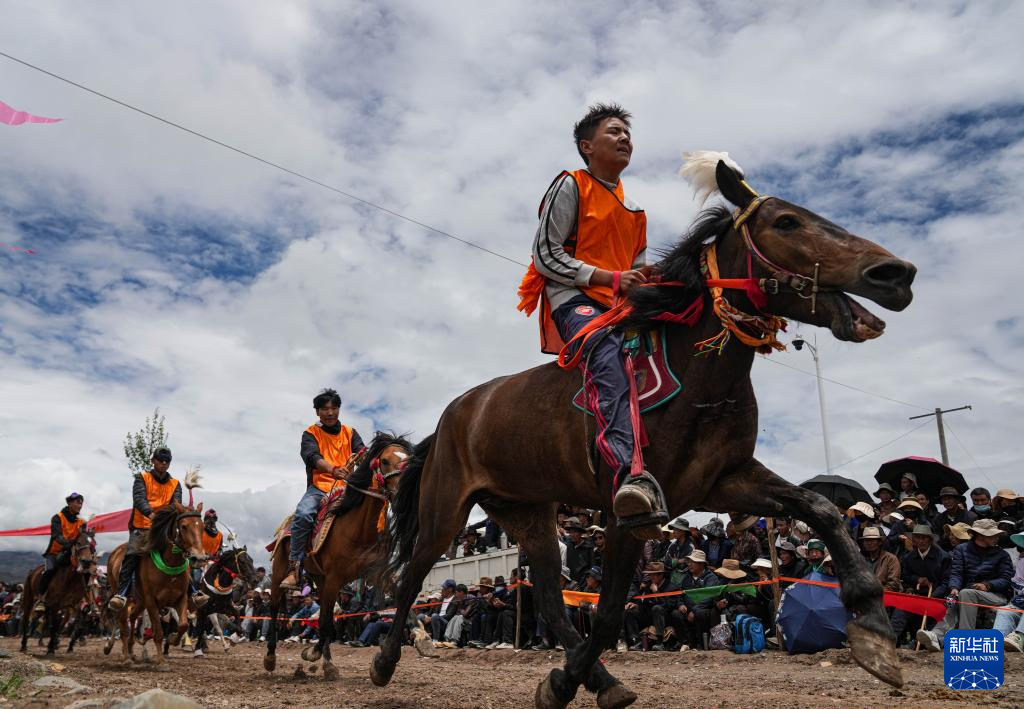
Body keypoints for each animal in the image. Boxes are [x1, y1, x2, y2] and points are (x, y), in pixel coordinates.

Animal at [103, 497, 207, 672]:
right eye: (183, 526)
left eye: (202, 527)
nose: (199, 558)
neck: (170, 564)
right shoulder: (152, 601)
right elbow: (158, 632)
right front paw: (161, 662)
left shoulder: (180, 598)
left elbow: (183, 625)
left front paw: (172, 639)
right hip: (126, 596)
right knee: (123, 624)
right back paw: (126, 657)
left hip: (140, 600)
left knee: (132, 617)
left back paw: (132, 651)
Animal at [264, 432, 415, 680]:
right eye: (385, 461)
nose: (404, 491)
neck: (359, 528)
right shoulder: (335, 578)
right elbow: (326, 624)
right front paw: (313, 654)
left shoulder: (374, 575)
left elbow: (402, 600)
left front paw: (422, 638)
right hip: (279, 575)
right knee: (275, 609)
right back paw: (270, 657)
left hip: (320, 579)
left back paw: (325, 662)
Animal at [372, 156, 917, 709]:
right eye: (787, 222)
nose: (895, 274)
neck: (698, 377)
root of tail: (451, 417)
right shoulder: (628, 514)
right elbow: (610, 613)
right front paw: (565, 681)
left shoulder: (723, 482)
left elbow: (821, 508)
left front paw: (873, 631)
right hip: (445, 510)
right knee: (410, 577)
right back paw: (386, 660)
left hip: (528, 513)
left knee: (548, 601)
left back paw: (598, 679)